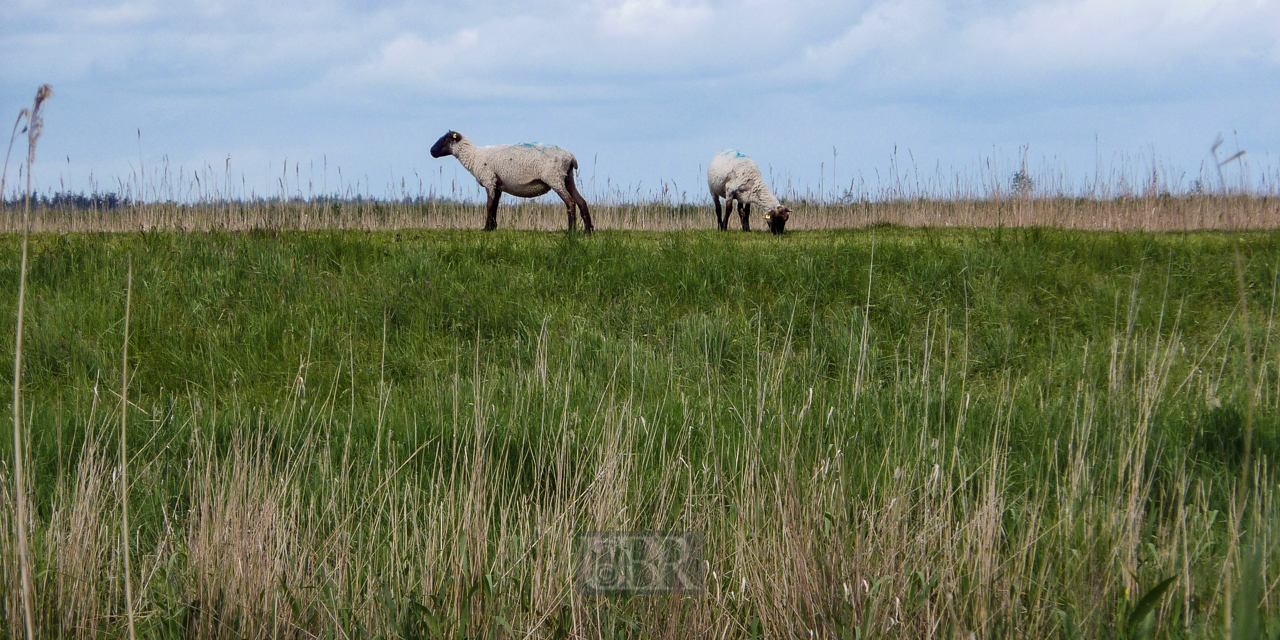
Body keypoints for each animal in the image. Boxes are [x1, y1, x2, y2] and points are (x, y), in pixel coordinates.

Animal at [427, 129, 591, 232]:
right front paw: (493, 227)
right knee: (581, 201)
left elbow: (489, 205)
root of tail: (571, 158)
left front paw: (486, 228)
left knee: (570, 202)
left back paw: (571, 231)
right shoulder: (497, 184)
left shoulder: (489, 180)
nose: (431, 151)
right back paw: (588, 230)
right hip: (568, 177)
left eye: (446, 139)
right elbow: (495, 206)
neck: (473, 156)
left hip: (555, 178)